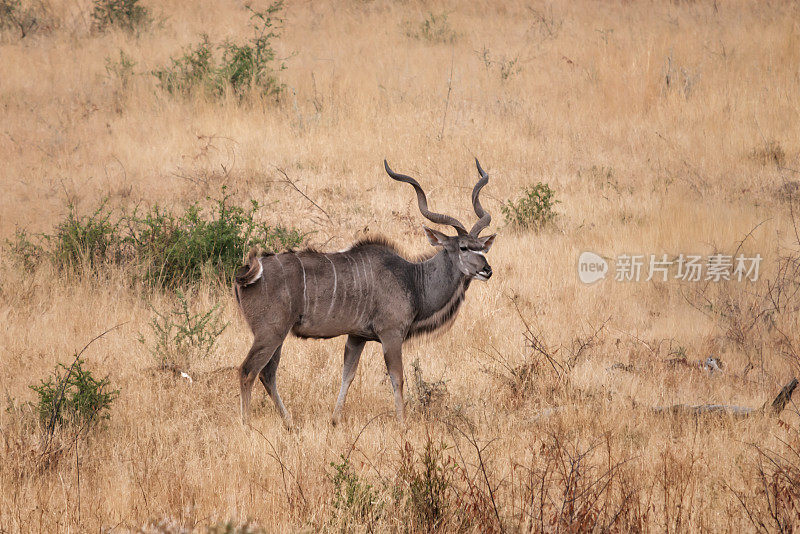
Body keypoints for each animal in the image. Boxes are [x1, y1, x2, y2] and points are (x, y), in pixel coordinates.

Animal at [233, 158, 494, 428]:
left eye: (482, 247)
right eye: (463, 247)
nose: (487, 270)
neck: (412, 278)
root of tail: (249, 271)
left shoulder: (356, 336)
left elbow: (347, 374)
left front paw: (335, 420)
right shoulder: (391, 334)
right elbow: (397, 378)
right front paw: (402, 424)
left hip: (279, 334)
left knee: (267, 373)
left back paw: (289, 423)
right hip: (270, 332)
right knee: (248, 371)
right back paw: (247, 425)